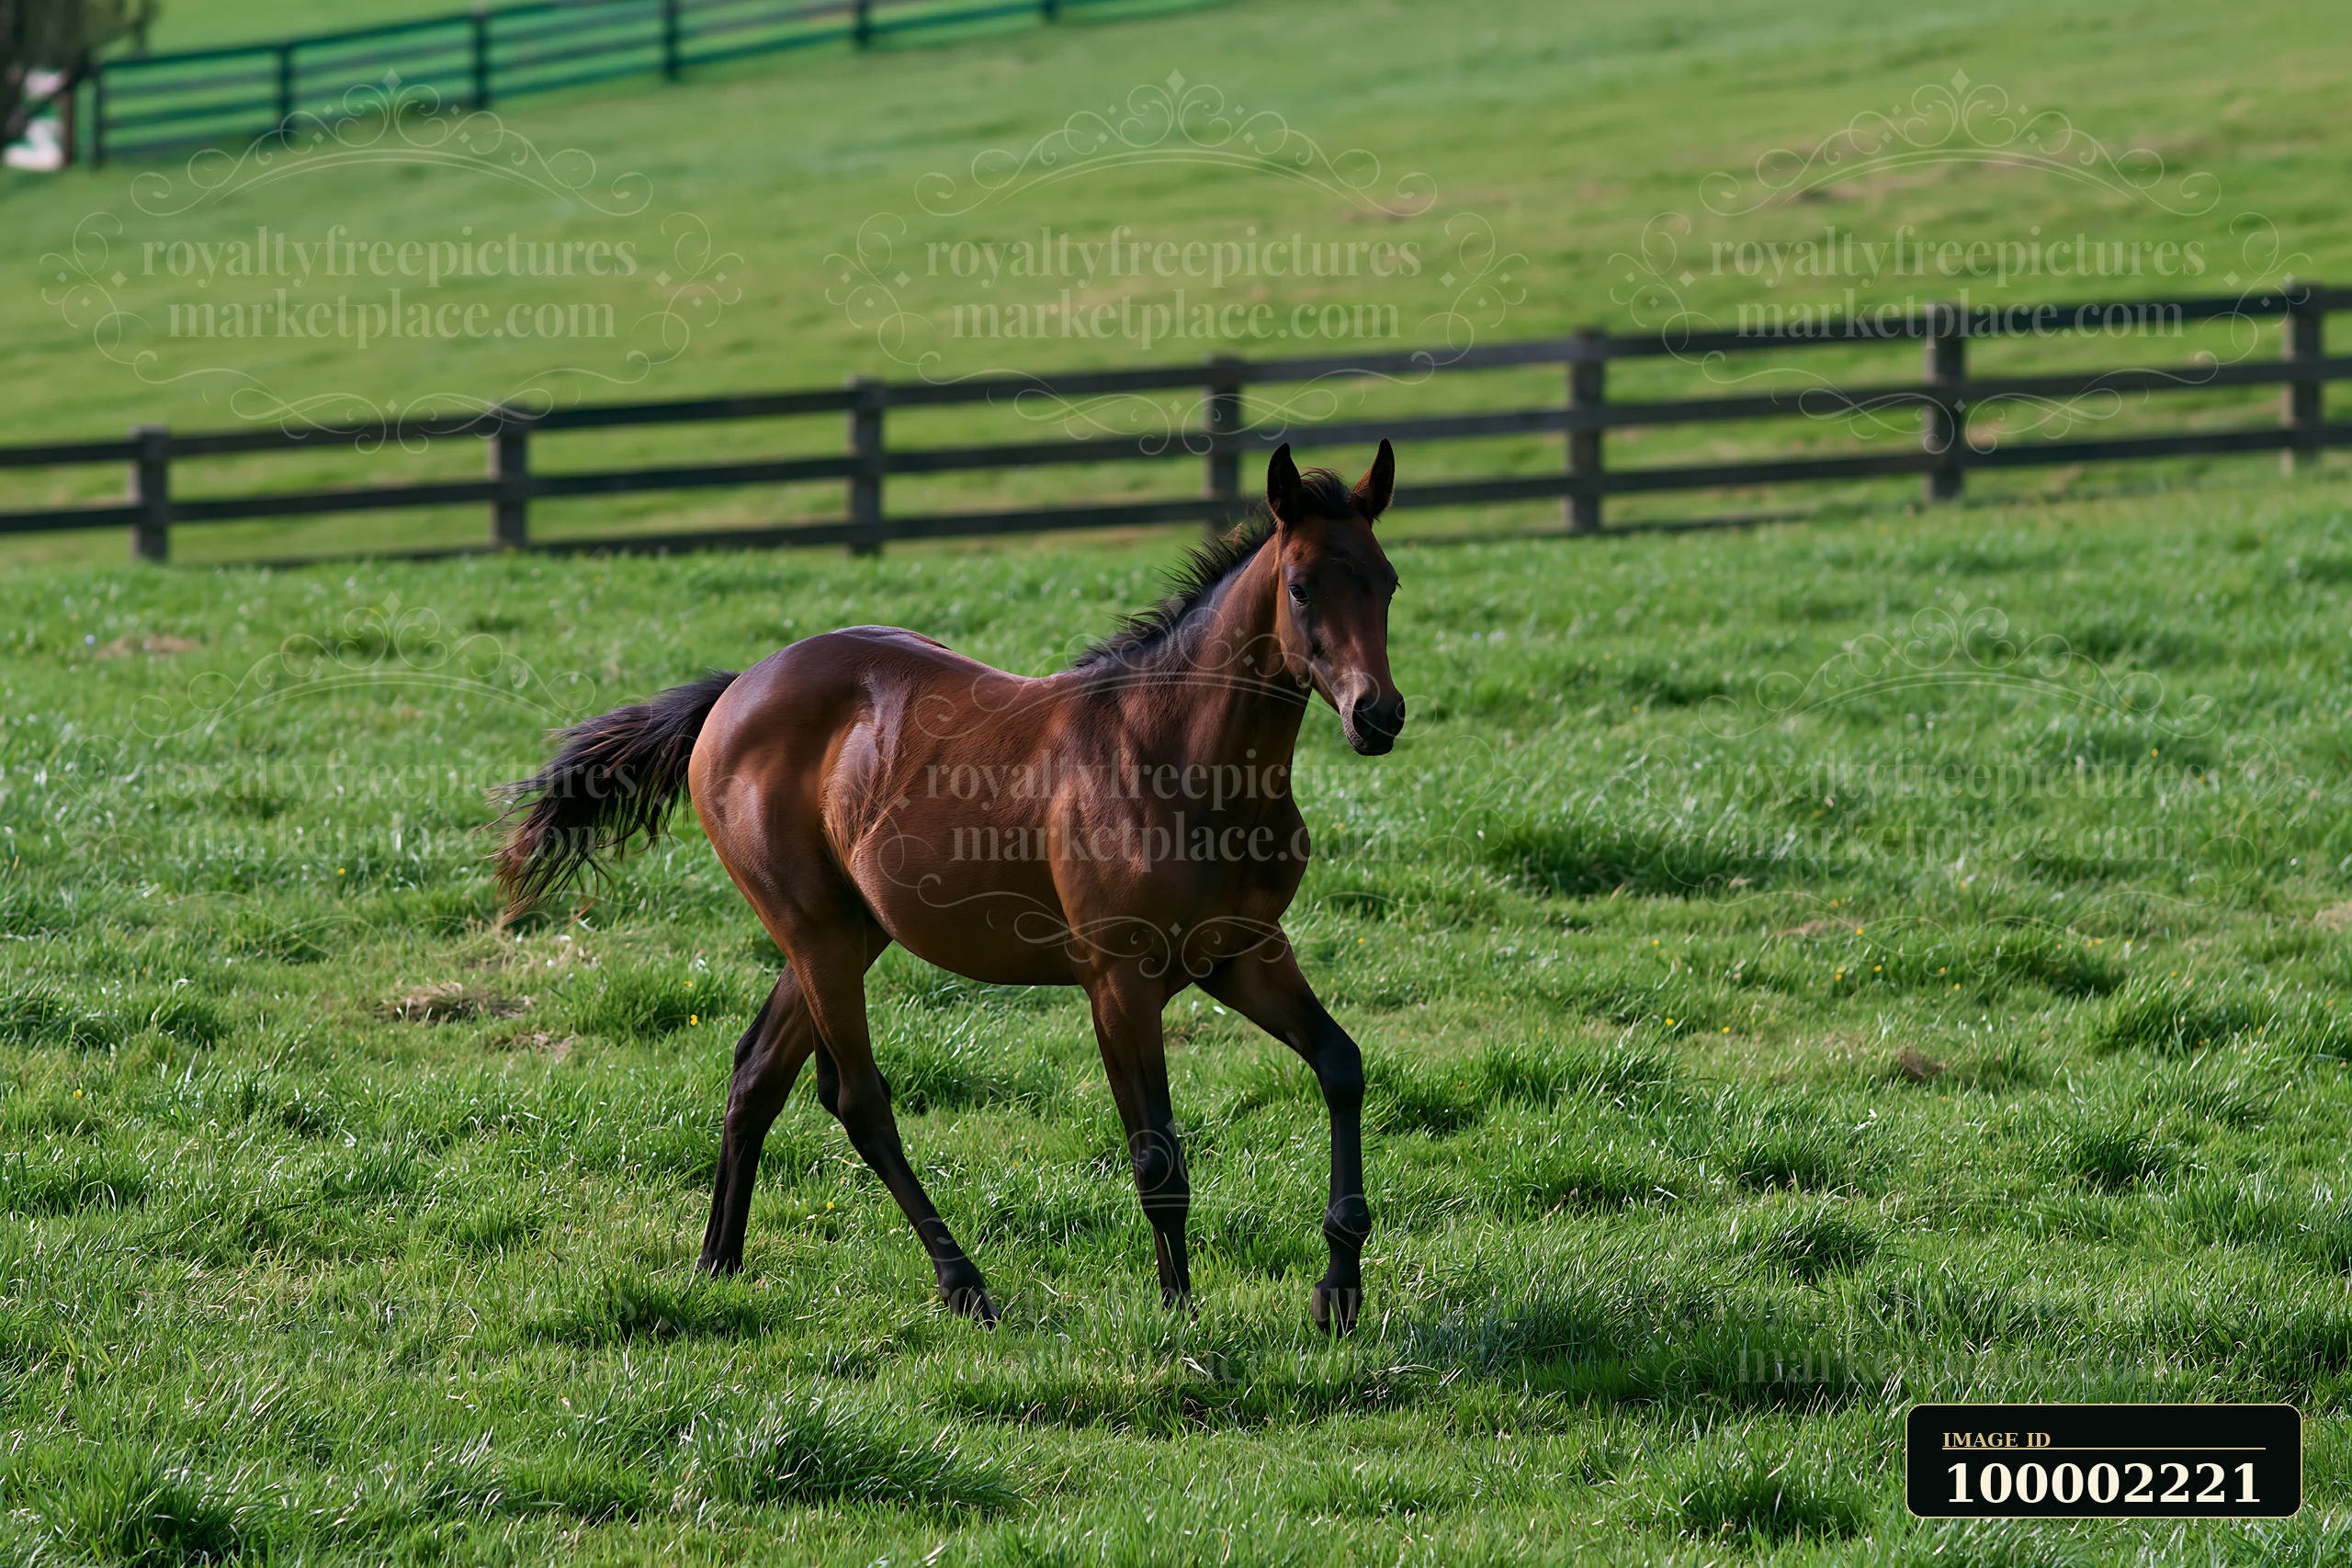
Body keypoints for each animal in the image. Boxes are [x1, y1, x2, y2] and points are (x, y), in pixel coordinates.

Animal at [490, 441, 1406, 1332]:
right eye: (1300, 587)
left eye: (1389, 580)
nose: (1378, 715)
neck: (1174, 758)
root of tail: (734, 691)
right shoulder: (1119, 979)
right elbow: (1156, 1153)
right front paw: (1181, 1318)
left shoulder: (1243, 952)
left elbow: (1342, 1064)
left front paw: (1339, 1288)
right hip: (815, 932)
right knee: (856, 1098)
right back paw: (964, 1284)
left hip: (847, 930)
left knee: (757, 1073)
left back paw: (718, 1263)